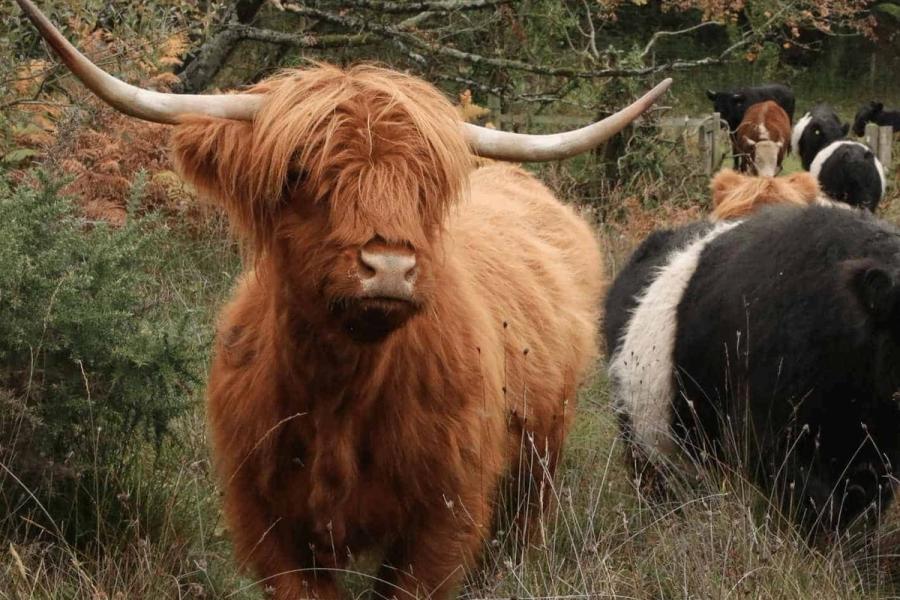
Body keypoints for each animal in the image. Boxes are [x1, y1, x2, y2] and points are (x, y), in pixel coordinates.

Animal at [15, 1, 672, 597]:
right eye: (300, 173)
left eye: (425, 185)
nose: (390, 268)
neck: (339, 394)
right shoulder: (269, 524)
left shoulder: (443, 518)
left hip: (539, 461)